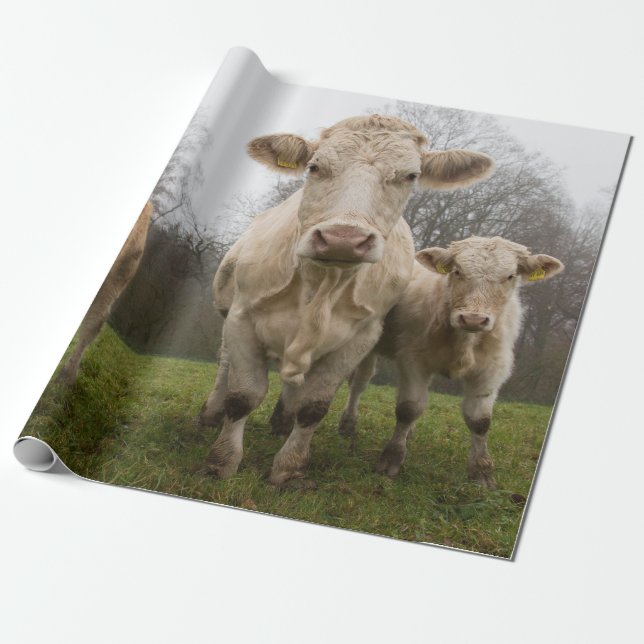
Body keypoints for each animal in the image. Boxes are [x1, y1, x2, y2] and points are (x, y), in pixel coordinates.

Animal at [198, 115, 495, 486]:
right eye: (314, 166)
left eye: (410, 176)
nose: (343, 239)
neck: (321, 285)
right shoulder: (242, 318)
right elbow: (242, 396)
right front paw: (221, 462)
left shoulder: (359, 337)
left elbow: (314, 406)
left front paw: (289, 468)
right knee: (225, 365)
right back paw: (210, 414)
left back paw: (281, 422)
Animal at [337, 236, 564, 488]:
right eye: (457, 271)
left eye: (510, 276)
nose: (473, 318)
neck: (465, 339)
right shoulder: (414, 359)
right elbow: (408, 409)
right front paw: (392, 458)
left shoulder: (492, 369)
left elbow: (480, 421)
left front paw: (482, 472)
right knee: (359, 384)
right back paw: (348, 423)